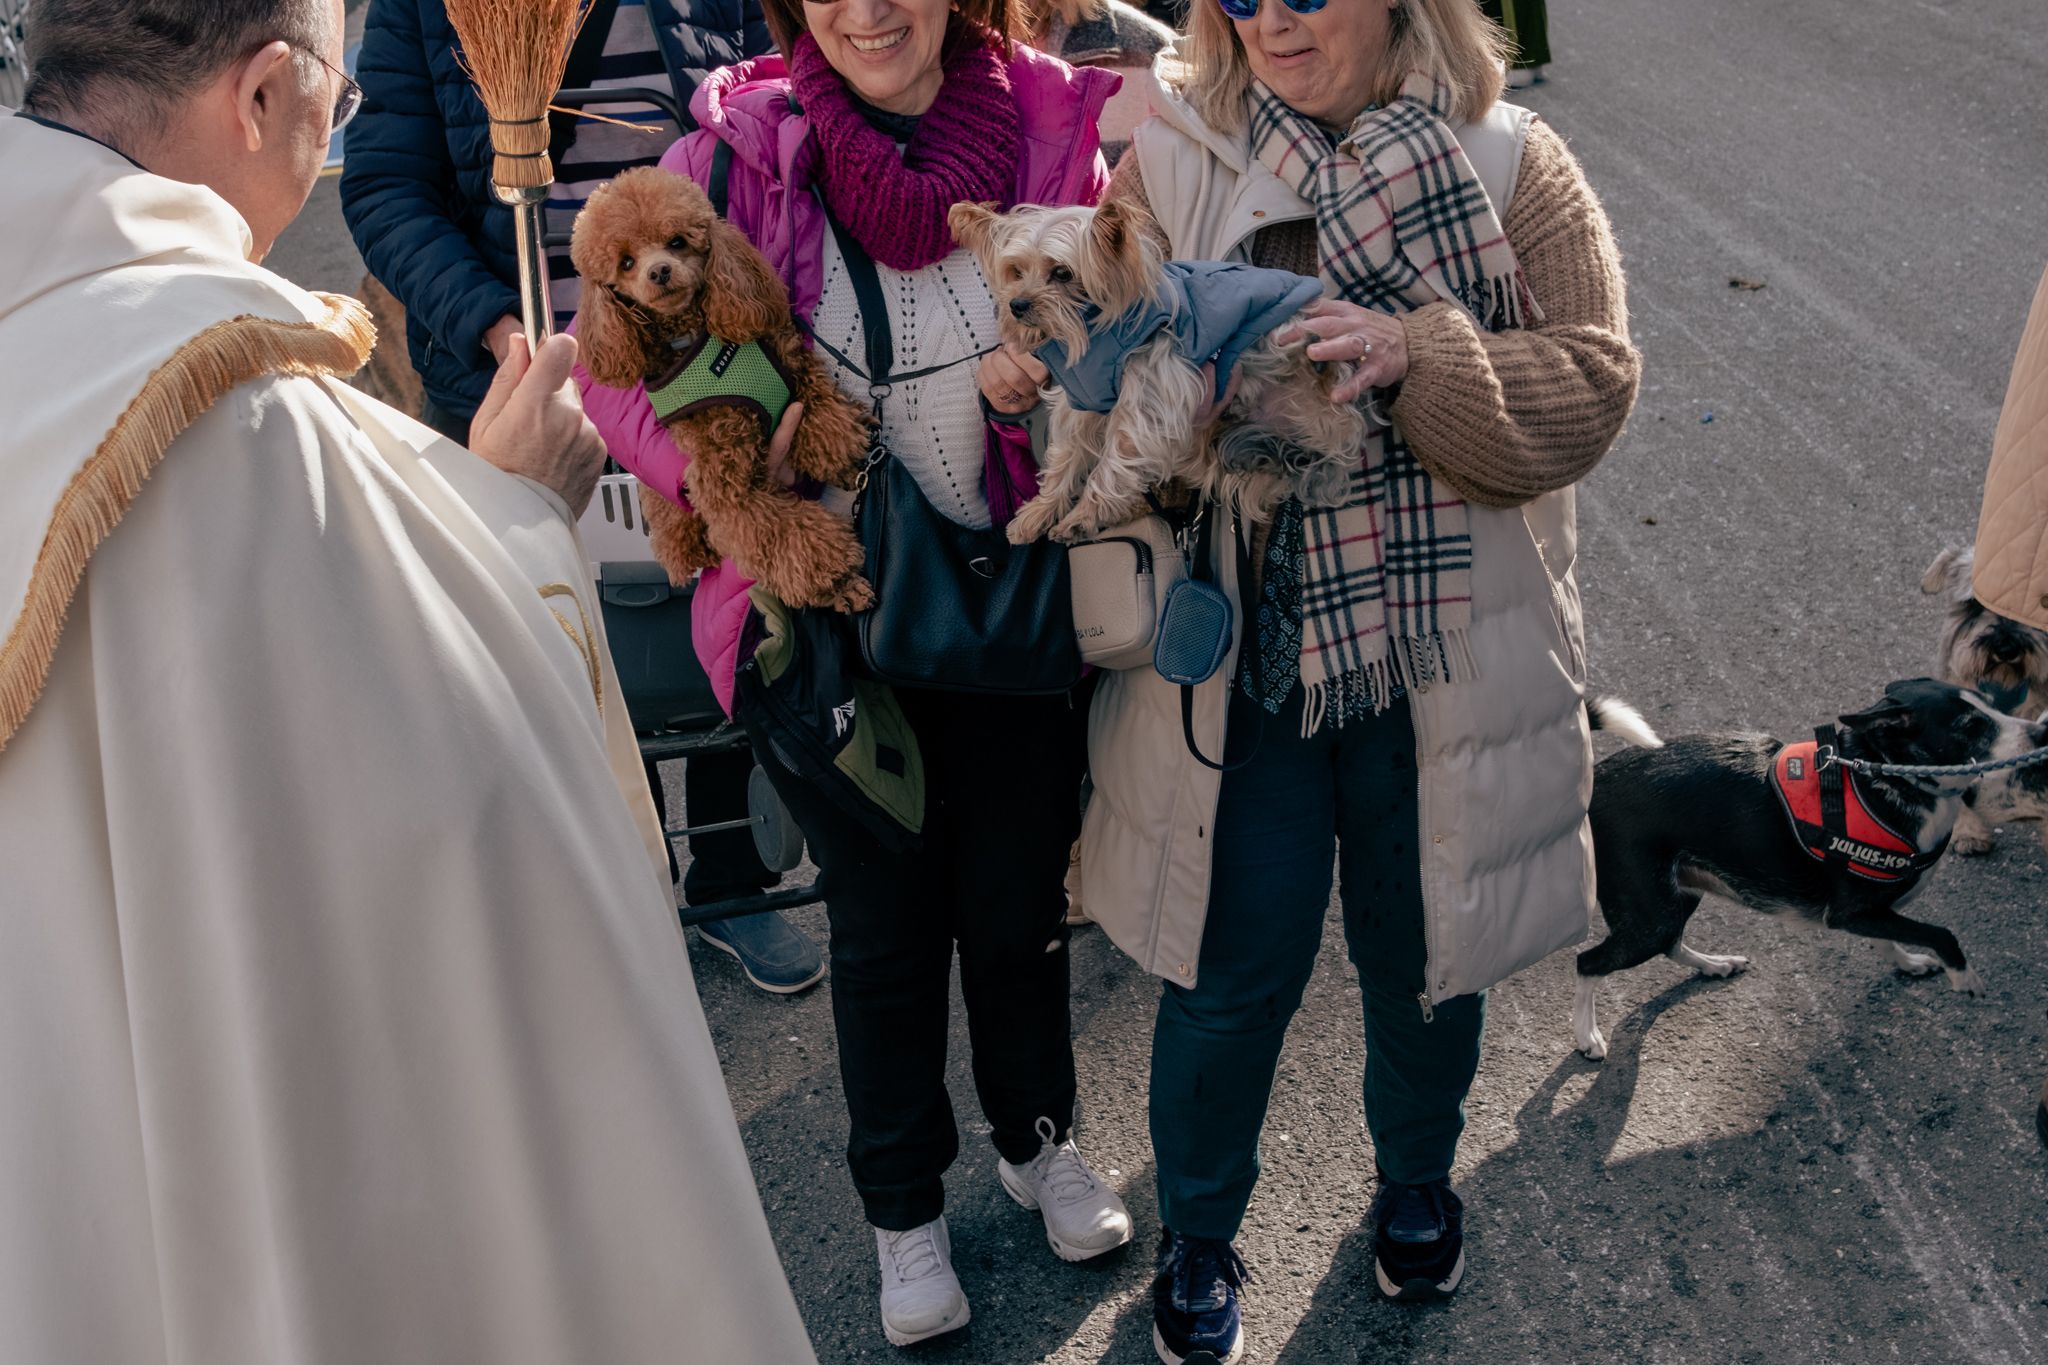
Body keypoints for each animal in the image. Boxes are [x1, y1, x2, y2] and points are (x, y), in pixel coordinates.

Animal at [1572, 679, 2039, 1055]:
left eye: (1990, 704)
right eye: (1970, 726)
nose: (2039, 732)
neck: (1883, 777)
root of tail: (1594, 783)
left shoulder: (1866, 913)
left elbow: (1889, 939)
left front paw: (1907, 962)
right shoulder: (1851, 912)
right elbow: (1942, 933)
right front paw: (1964, 977)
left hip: (1674, 899)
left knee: (1669, 945)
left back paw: (1714, 965)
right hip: (1651, 916)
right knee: (1588, 963)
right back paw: (1586, 1036)